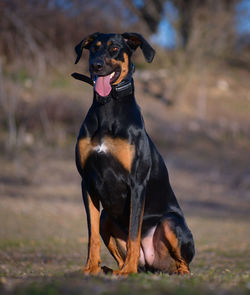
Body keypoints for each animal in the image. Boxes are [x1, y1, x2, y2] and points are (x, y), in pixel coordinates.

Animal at [73, 31, 194, 276]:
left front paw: (128, 271)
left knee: (184, 263)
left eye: (114, 48)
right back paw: (110, 269)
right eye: (94, 48)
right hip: (106, 217)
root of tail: (151, 264)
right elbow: (92, 236)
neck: (108, 108)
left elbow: (133, 233)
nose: (96, 65)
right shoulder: (87, 182)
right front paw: (90, 268)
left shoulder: (137, 183)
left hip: (171, 223)